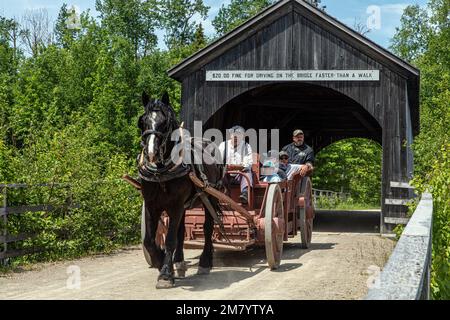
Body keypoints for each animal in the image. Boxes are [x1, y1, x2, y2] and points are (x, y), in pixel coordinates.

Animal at [136, 91, 222, 288]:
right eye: (143, 121)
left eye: (165, 122)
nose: (151, 153)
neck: (161, 172)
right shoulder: (152, 205)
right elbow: (150, 240)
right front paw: (160, 262)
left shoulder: (175, 205)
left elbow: (170, 240)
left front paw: (166, 274)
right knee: (182, 230)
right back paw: (180, 263)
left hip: (209, 196)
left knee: (208, 227)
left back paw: (205, 262)